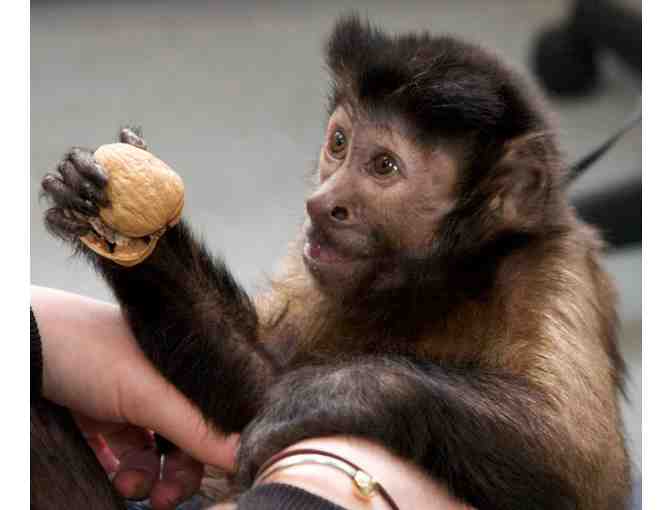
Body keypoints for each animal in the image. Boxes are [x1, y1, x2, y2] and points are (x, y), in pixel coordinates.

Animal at [36, 15, 630, 510]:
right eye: (339, 144)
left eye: (383, 166)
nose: (322, 205)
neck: (442, 282)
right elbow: (256, 384)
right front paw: (109, 218)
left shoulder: (551, 269)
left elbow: (579, 471)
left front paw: (327, 394)